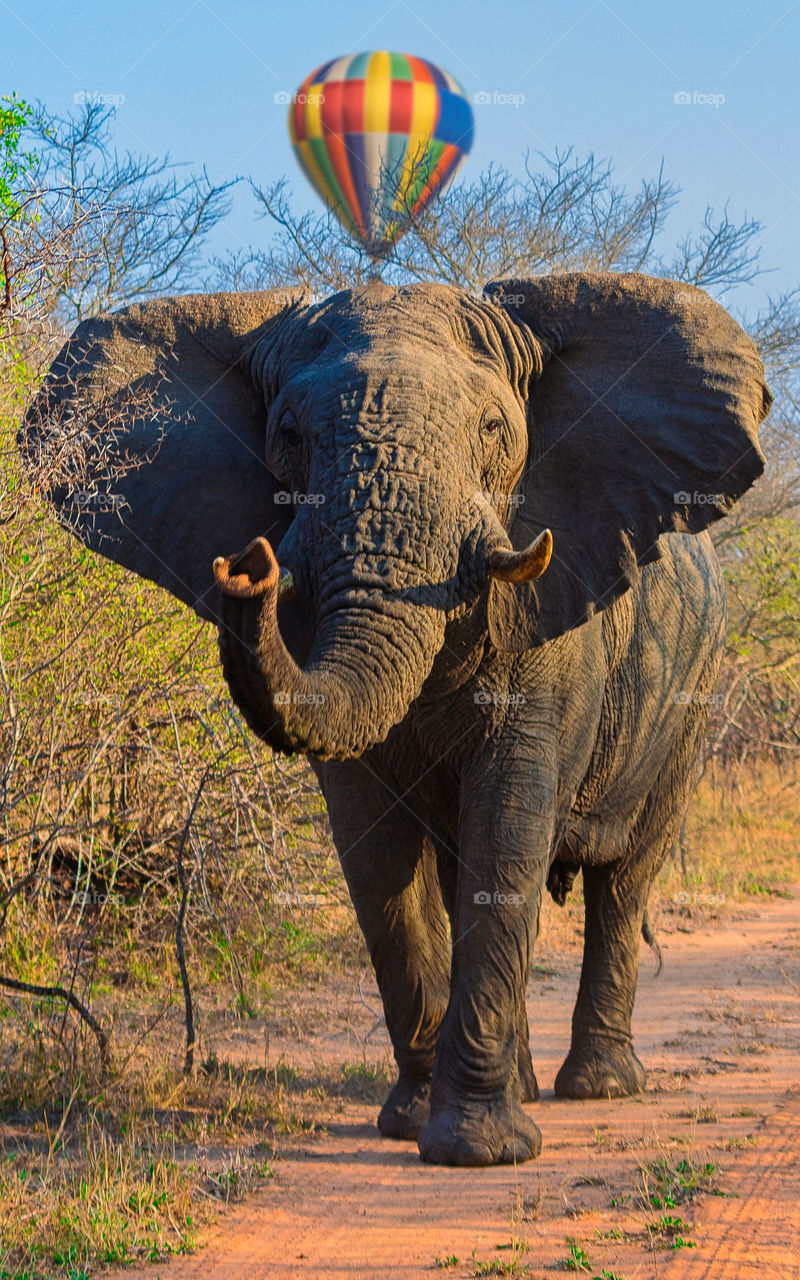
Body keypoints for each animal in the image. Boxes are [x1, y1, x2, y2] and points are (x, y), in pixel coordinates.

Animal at [23, 272, 771, 1167]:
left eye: (493, 429)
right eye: (287, 435)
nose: (248, 567)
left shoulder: (553, 622)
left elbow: (509, 824)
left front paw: (478, 1152)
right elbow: (378, 855)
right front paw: (415, 1124)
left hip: (691, 697)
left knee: (624, 878)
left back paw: (599, 1089)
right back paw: (527, 1087)